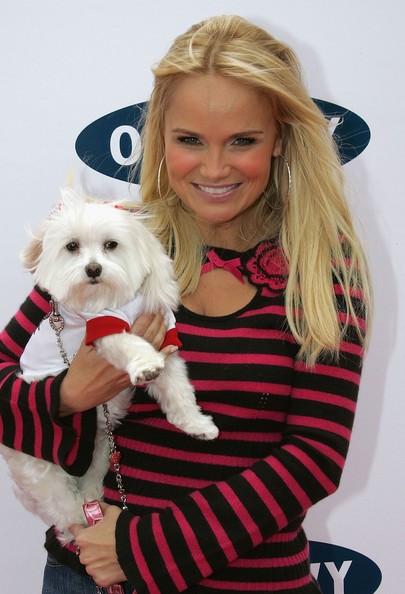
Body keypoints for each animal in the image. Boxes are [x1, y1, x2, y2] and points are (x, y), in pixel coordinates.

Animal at [0, 188, 218, 540]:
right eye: (71, 247)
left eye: (111, 245)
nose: (93, 269)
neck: (114, 300)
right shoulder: (105, 329)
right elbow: (129, 343)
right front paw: (145, 365)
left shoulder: (166, 341)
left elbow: (178, 391)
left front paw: (197, 425)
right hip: (41, 467)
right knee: (62, 507)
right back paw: (79, 523)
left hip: (101, 450)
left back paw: (93, 501)